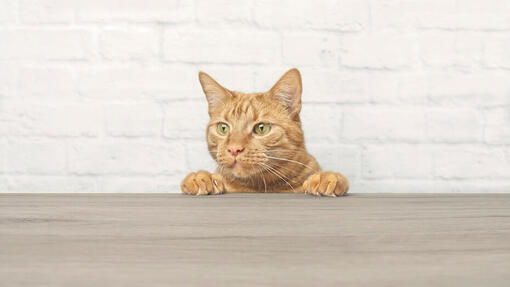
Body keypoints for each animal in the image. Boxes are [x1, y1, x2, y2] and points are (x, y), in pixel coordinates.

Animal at [180, 68, 350, 197]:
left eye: (261, 128)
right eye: (223, 128)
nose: (234, 149)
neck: (261, 187)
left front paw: (326, 178)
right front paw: (201, 178)